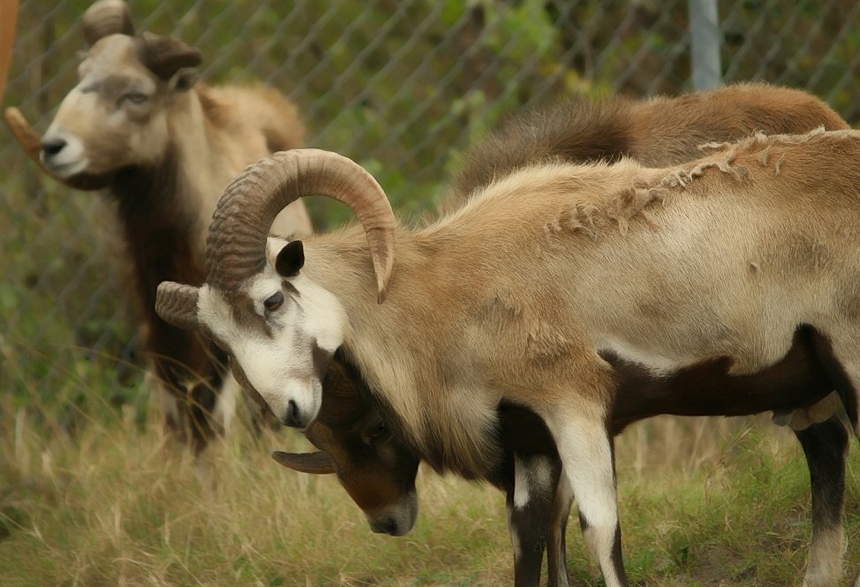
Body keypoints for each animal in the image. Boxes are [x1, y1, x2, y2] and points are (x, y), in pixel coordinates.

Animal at [155, 130, 860, 587]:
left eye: (272, 299)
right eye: (221, 339)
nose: (294, 409)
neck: (446, 293)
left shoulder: (575, 411)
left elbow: (601, 533)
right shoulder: (531, 441)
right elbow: (531, 540)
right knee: (826, 462)